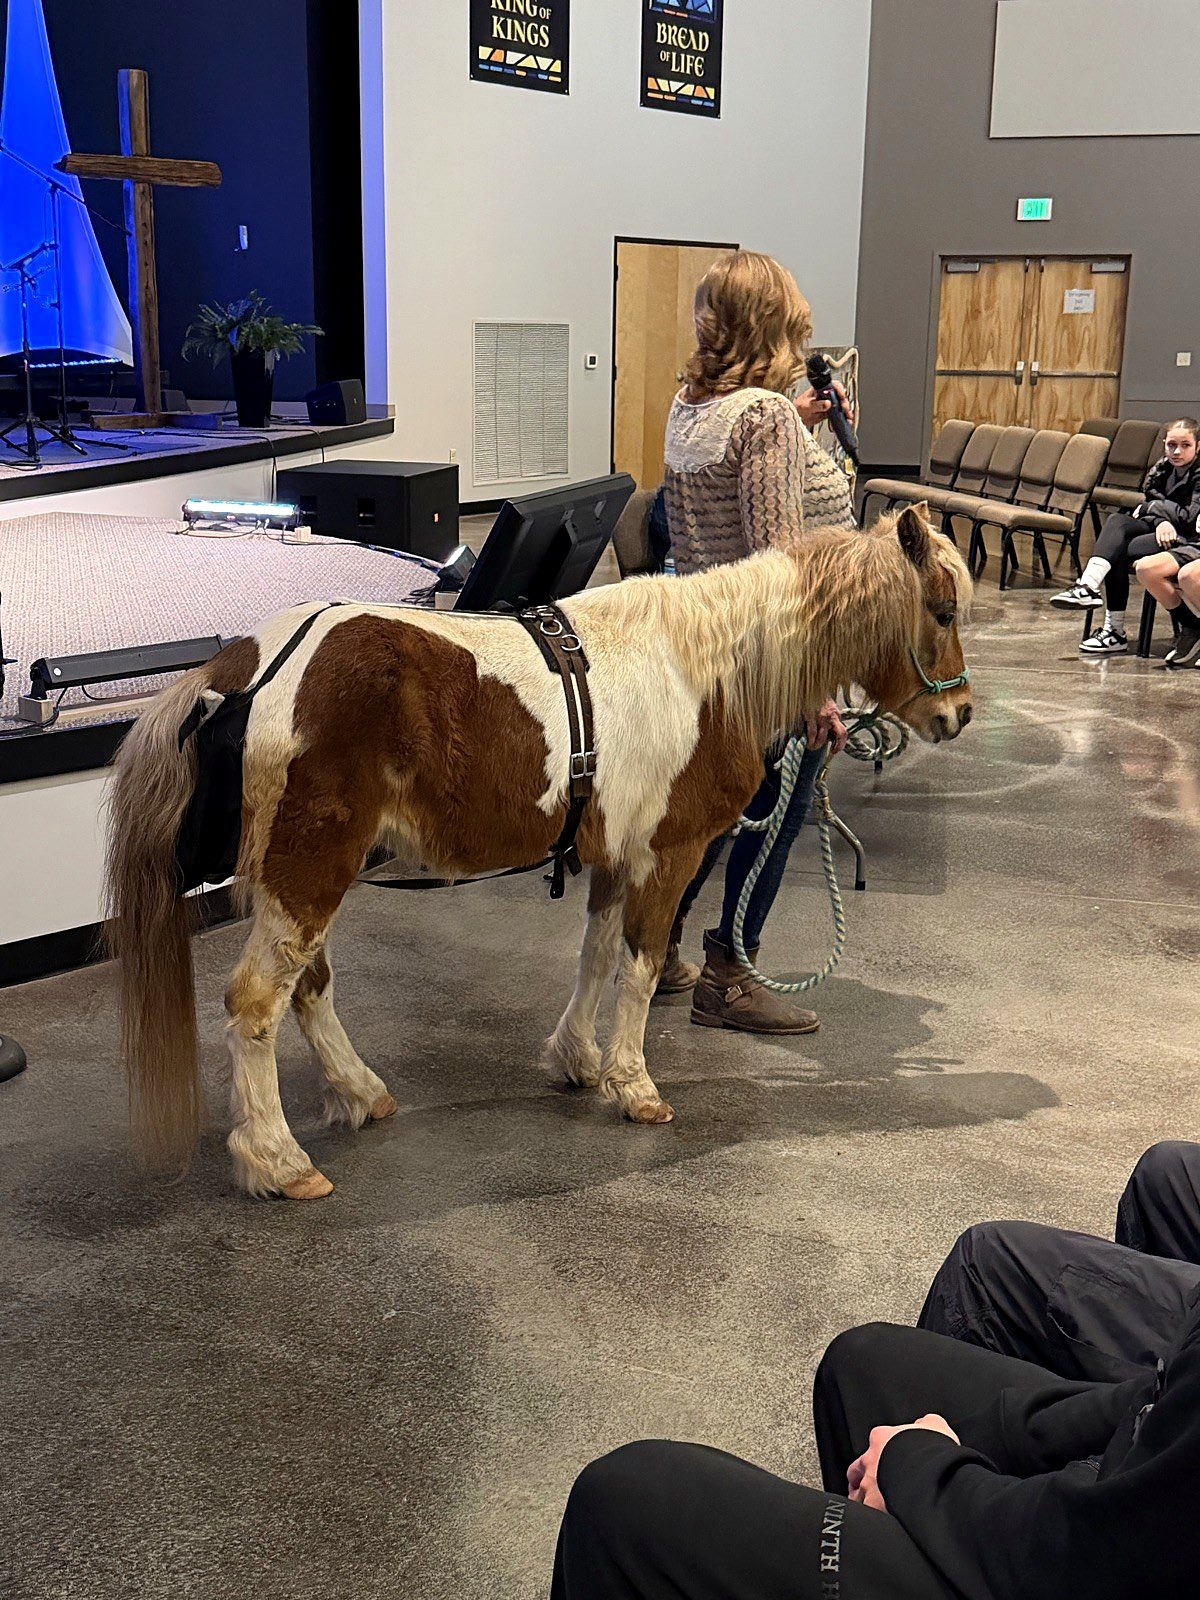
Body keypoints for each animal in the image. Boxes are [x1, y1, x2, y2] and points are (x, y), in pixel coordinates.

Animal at [105, 503, 973, 1200]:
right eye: (940, 609)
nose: (959, 713)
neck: (705, 665)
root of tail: (245, 662)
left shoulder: (616, 857)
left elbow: (597, 957)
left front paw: (580, 1060)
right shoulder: (671, 854)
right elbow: (642, 966)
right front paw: (635, 1085)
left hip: (302, 876)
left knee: (309, 987)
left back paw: (360, 1093)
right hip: (311, 868)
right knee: (256, 1003)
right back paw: (278, 1161)